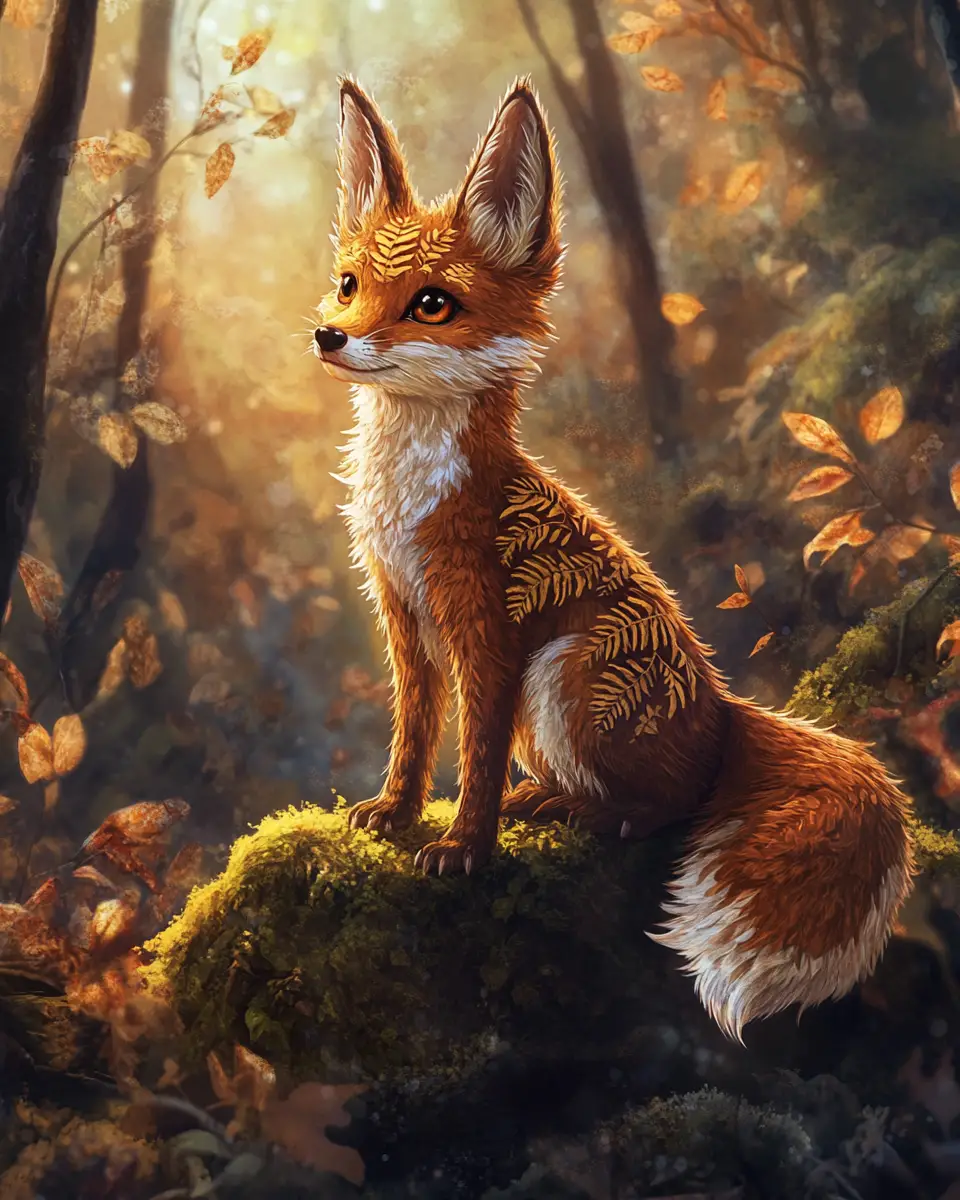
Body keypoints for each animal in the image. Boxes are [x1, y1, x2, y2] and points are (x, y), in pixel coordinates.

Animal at [312, 75, 916, 1041]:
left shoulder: (487, 632)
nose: (329, 337)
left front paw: (462, 848)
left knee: (660, 811)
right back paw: (548, 799)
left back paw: (570, 808)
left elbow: (473, 756)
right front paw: (397, 813)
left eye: (432, 303)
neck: (412, 500)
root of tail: (723, 714)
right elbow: (414, 734)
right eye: (349, 284)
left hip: (566, 669)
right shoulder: (403, 617)